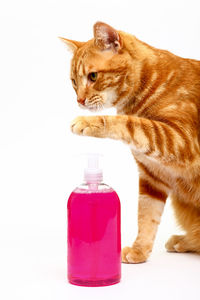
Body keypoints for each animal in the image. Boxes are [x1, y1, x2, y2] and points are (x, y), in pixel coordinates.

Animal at [60, 22, 200, 264]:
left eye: (93, 76)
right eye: (74, 82)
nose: (79, 101)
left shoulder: (180, 139)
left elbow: (132, 123)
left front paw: (90, 122)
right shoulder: (151, 177)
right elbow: (146, 216)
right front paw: (140, 250)